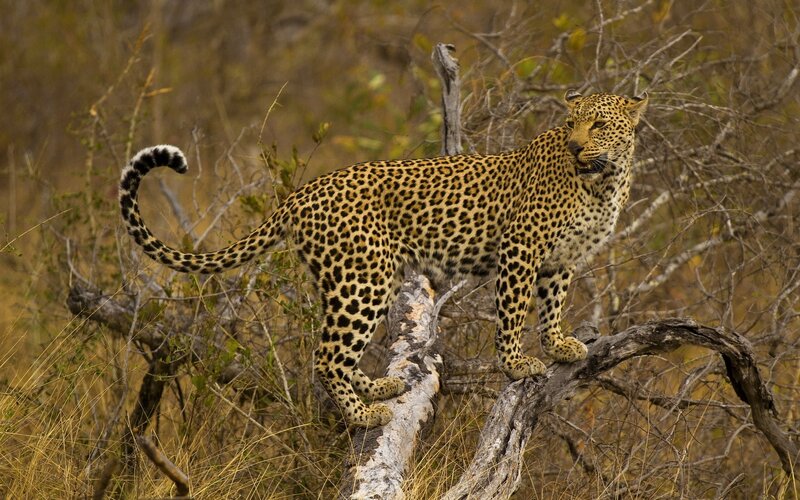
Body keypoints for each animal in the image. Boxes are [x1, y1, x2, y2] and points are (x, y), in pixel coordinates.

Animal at [119, 90, 648, 428]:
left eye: (598, 124)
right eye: (571, 124)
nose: (576, 145)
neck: (604, 179)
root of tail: (301, 193)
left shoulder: (560, 258)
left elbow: (552, 304)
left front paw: (559, 345)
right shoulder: (522, 247)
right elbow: (514, 312)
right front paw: (518, 365)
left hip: (357, 279)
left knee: (338, 350)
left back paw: (376, 391)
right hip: (363, 281)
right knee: (326, 356)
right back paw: (363, 415)